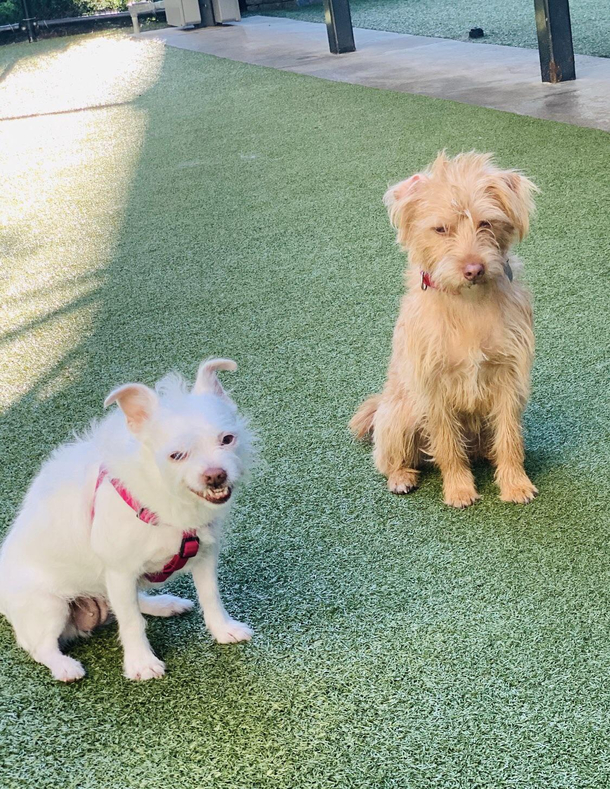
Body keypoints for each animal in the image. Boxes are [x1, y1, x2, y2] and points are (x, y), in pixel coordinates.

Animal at [0, 360, 253, 680]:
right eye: (177, 455)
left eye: (227, 439)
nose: (216, 475)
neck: (166, 500)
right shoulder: (119, 571)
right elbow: (132, 622)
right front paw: (141, 663)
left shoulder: (204, 556)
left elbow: (211, 596)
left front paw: (224, 630)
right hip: (50, 606)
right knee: (39, 647)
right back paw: (64, 666)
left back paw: (164, 604)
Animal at [352, 153, 536, 508]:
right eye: (440, 229)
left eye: (485, 223)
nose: (473, 269)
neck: (467, 302)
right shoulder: (433, 386)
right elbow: (448, 444)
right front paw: (459, 489)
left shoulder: (508, 376)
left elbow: (509, 436)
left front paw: (515, 483)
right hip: (398, 415)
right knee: (391, 458)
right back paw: (401, 477)